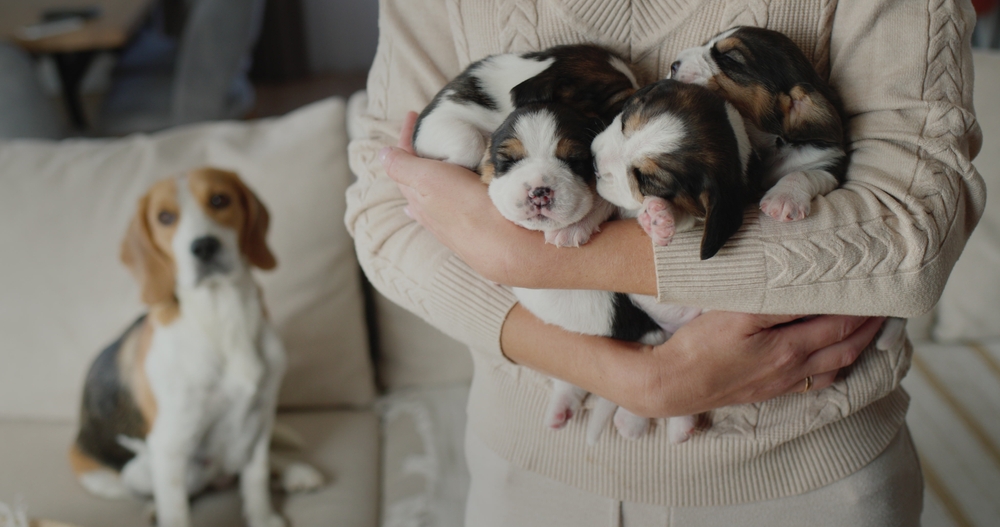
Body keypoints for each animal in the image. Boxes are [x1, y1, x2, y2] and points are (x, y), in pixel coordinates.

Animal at [70, 168, 320, 527]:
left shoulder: (260, 420)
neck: (223, 316)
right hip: (123, 475)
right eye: (165, 217)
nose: (203, 246)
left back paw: (295, 473)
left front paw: (262, 517)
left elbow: (256, 477)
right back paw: (153, 508)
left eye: (219, 200)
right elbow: (176, 509)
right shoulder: (171, 446)